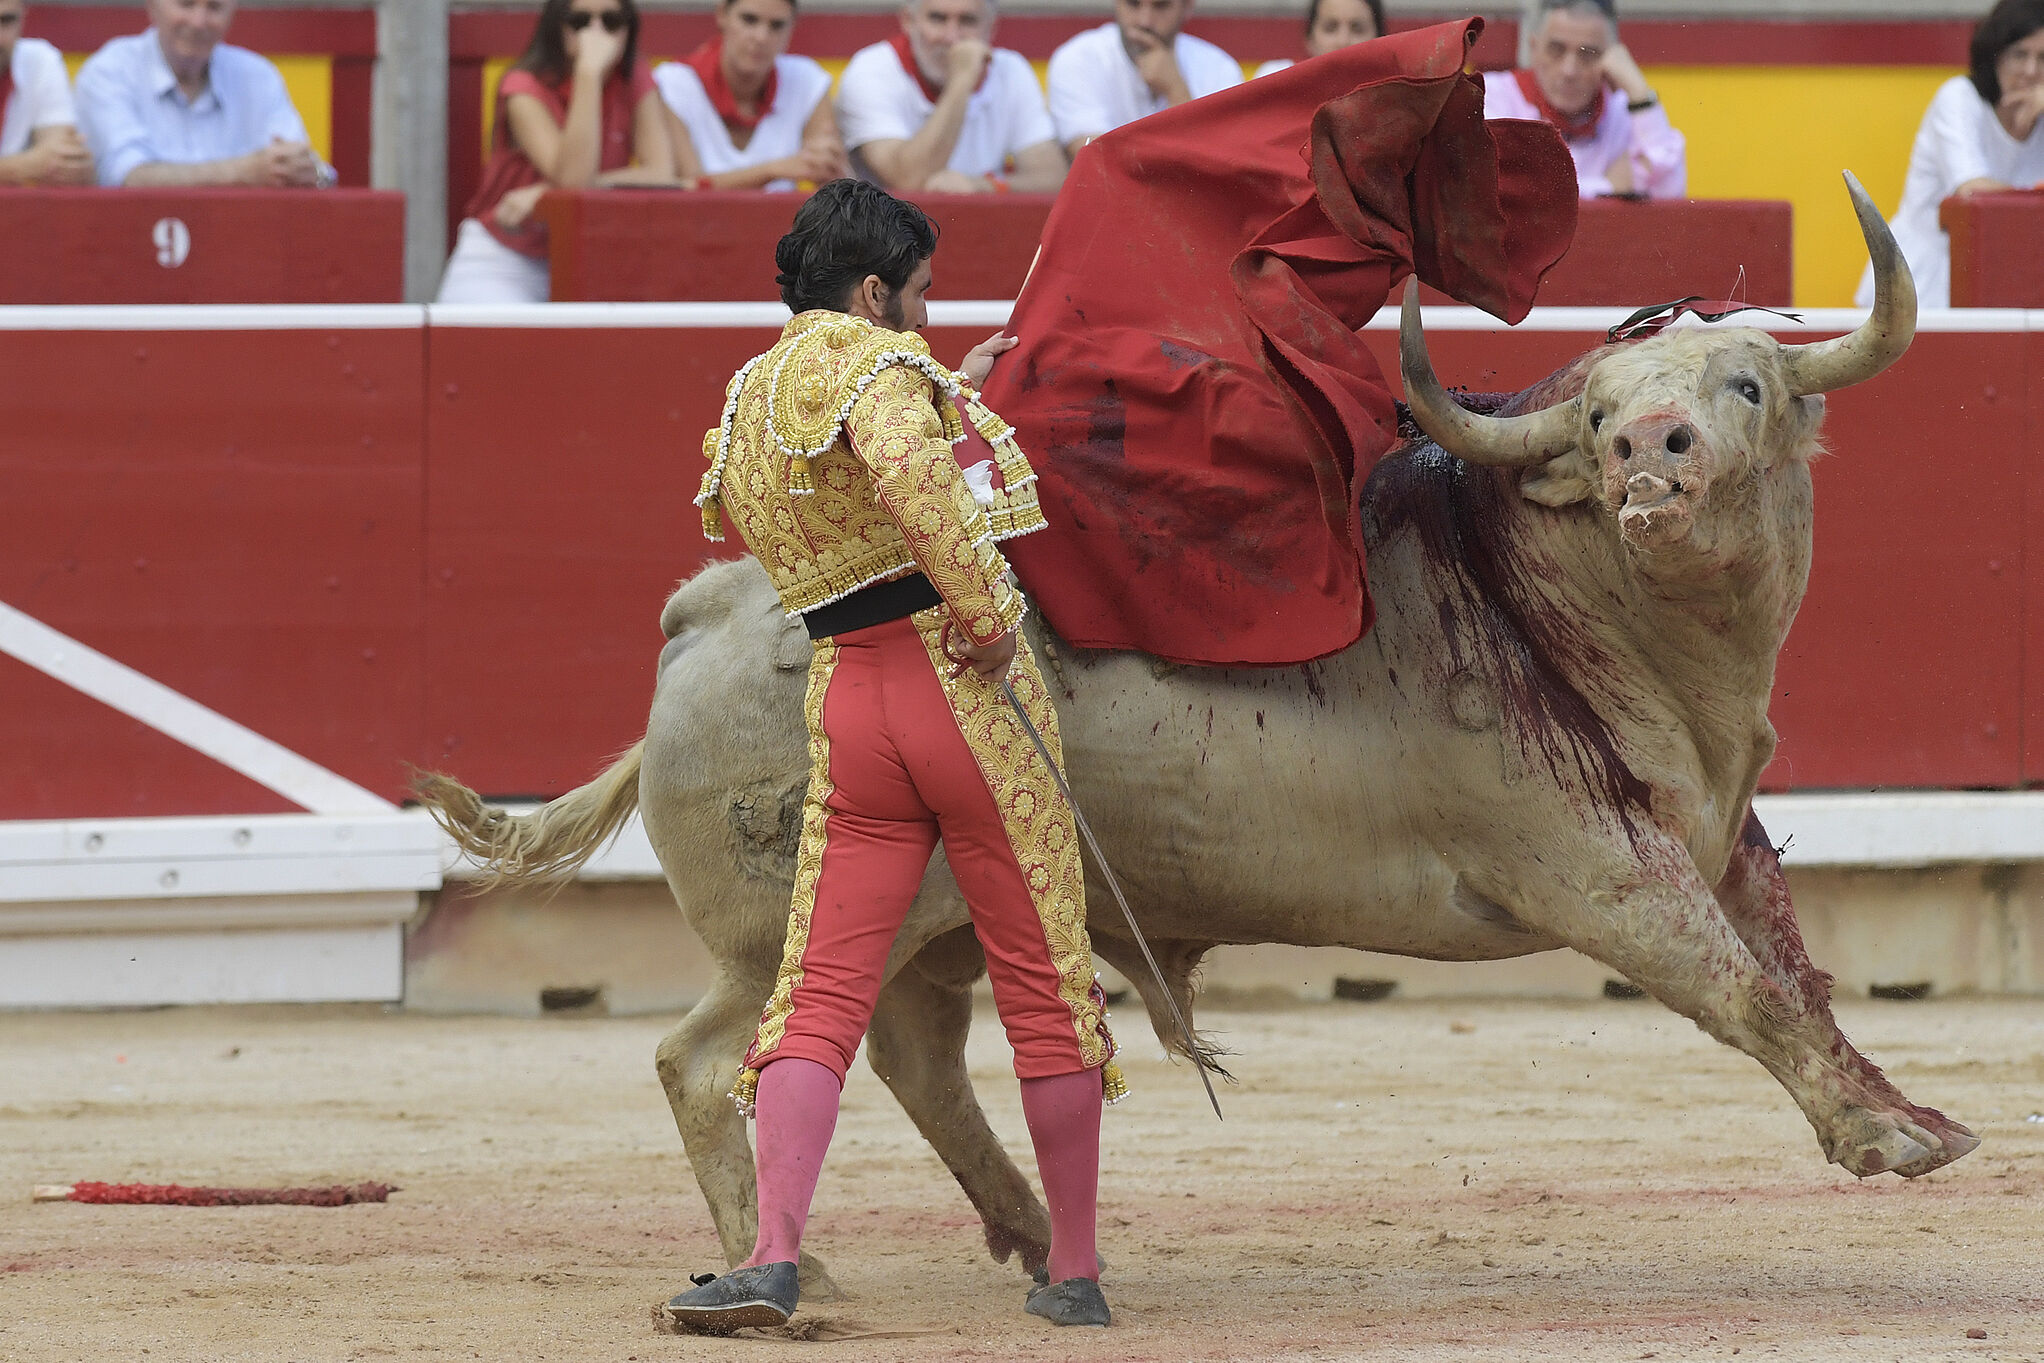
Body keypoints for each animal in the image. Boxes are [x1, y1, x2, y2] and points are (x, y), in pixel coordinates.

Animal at [419, 175, 1978, 1299]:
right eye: (1597, 410)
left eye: (1746, 387)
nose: (1651, 456)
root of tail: (705, 610)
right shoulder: (1591, 866)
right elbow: (1742, 987)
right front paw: (1882, 1142)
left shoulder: (1717, 832)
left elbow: (1794, 967)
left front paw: (1920, 1119)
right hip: (779, 920)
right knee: (713, 1059)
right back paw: (788, 1273)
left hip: (933, 910)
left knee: (912, 1052)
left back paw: (1028, 1231)